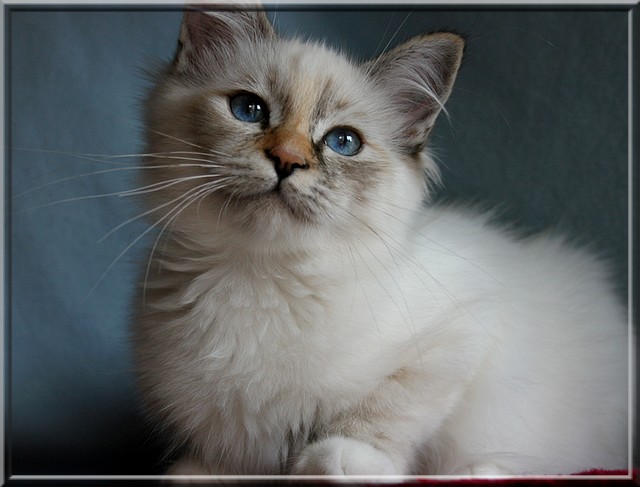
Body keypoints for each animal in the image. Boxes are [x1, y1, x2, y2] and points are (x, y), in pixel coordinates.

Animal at [132, 7, 628, 478]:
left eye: (343, 142)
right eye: (249, 110)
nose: (287, 159)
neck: (257, 274)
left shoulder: (464, 332)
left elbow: (387, 408)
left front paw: (340, 459)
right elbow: (225, 459)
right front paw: (200, 472)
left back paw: (476, 470)